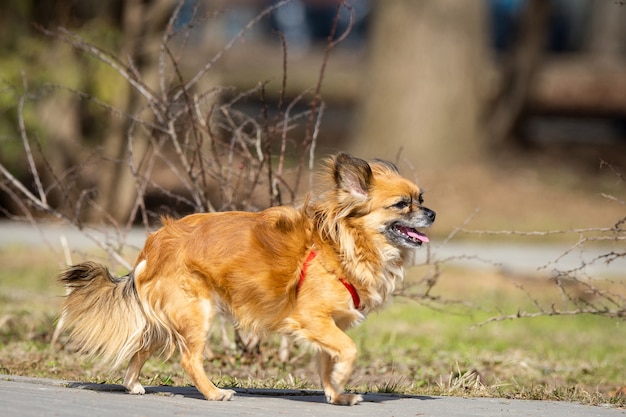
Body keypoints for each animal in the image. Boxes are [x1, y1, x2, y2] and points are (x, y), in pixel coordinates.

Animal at [57, 152, 434, 404]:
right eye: (402, 205)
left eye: (421, 198)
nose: (431, 213)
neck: (344, 245)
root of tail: (151, 247)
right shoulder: (313, 319)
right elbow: (349, 351)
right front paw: (343, 378)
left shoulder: (329, 325)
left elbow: (327, 361)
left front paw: (336, 394)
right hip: (196, 313)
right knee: (188, 358)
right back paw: (213, 393)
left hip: (166, 317)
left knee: (142, 345)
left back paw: (133, 384)